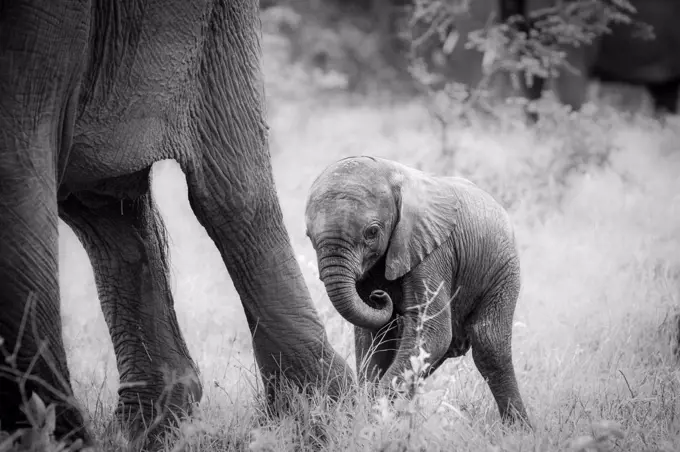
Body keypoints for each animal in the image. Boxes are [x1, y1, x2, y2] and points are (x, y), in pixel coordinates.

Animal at [302, 156, 532, 428]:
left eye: (372, 232)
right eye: (308, 235)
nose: (378, 297)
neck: (393, 174)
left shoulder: (433, 249)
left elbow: (434, 333)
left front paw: (374, 417)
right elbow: (374, 337)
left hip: (504, 269)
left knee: (489, 346)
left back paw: (520, 430)